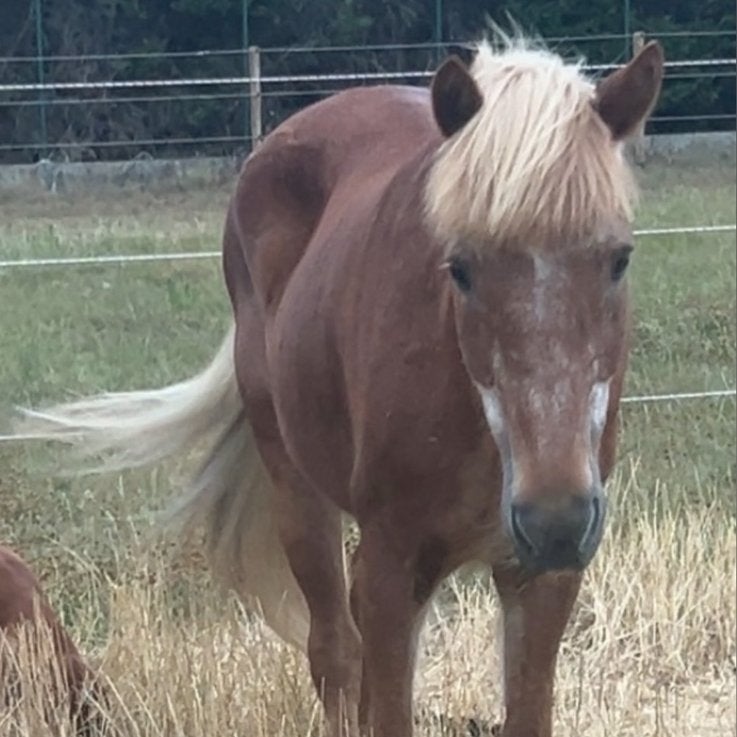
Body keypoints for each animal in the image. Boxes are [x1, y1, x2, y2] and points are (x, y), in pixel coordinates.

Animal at [17, 36, 664, 737]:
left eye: (620, 258)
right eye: (460, 267)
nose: (555, 519)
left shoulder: (539, 581)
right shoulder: (391, 570)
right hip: (296, 489)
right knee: (333, 650)